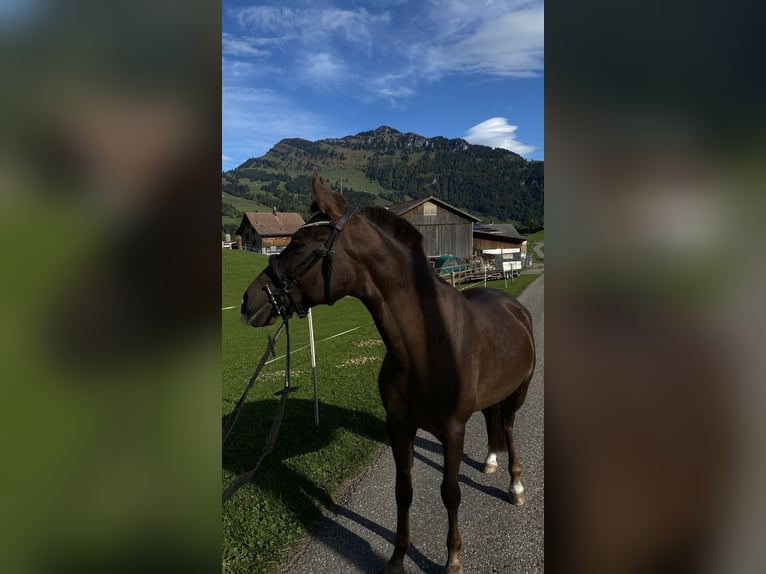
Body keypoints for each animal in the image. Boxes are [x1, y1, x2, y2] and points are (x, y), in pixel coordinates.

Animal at [243, 174, 536, 574]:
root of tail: (513, 306)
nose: (249, 301)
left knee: (506, 426)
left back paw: (515, 487)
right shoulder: (398, 426)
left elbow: (450, 493)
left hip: (519, 391)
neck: (425, 348)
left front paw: (453, 558)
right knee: (492, 418)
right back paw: (490, 461)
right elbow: (404, 491)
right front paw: (397, 557)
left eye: (299, 244)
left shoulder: (453, 431)